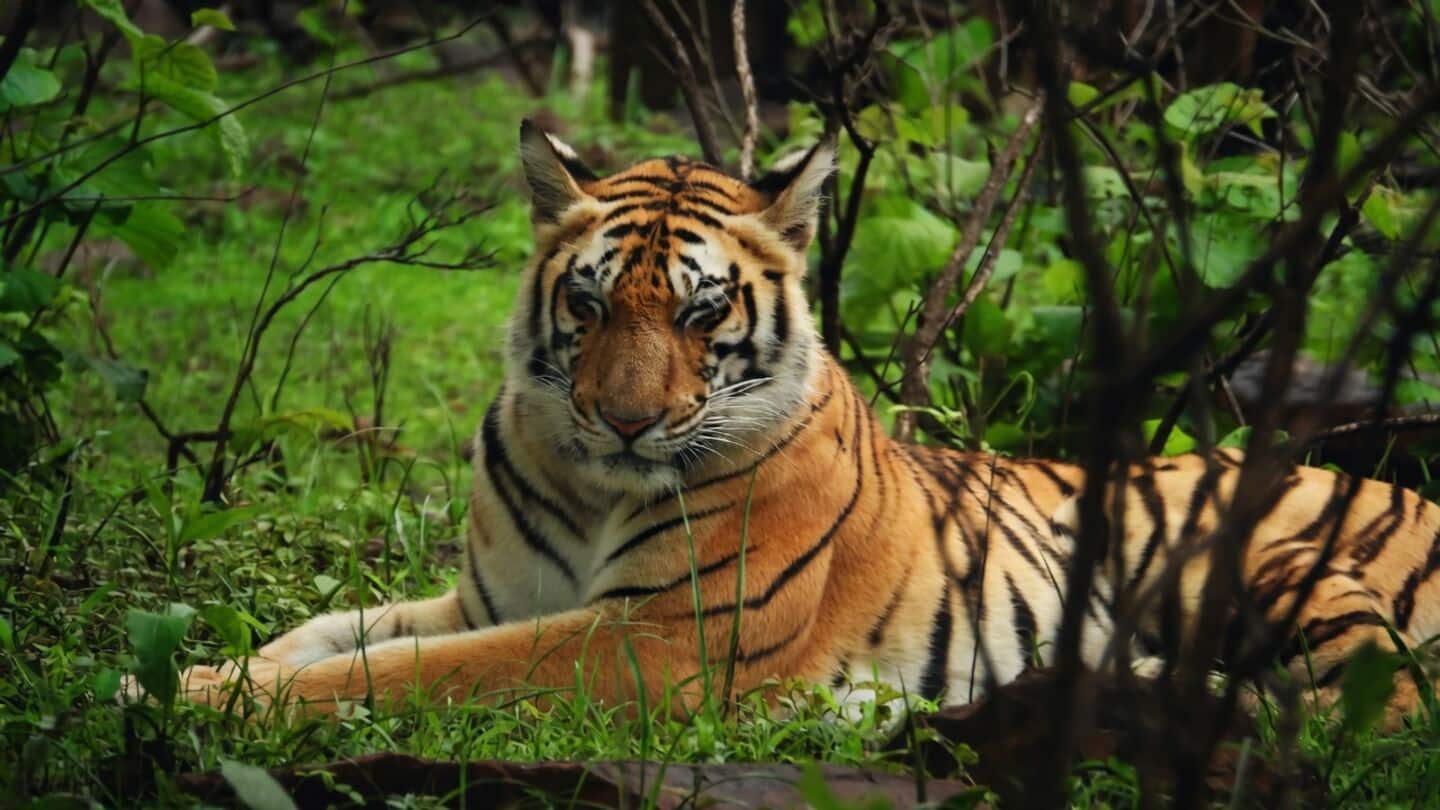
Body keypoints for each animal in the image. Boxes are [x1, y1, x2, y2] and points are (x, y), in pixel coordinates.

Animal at [163, 121, 1440, 727]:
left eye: (701, 309)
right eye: (588, 303)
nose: (625, 423)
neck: (588, 482)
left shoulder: (659, 636)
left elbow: (415, 674)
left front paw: (190, 699)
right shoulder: (489, 598)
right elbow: (337, 632)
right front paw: (206, 668)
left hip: (1262, 560)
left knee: (1375, 707)